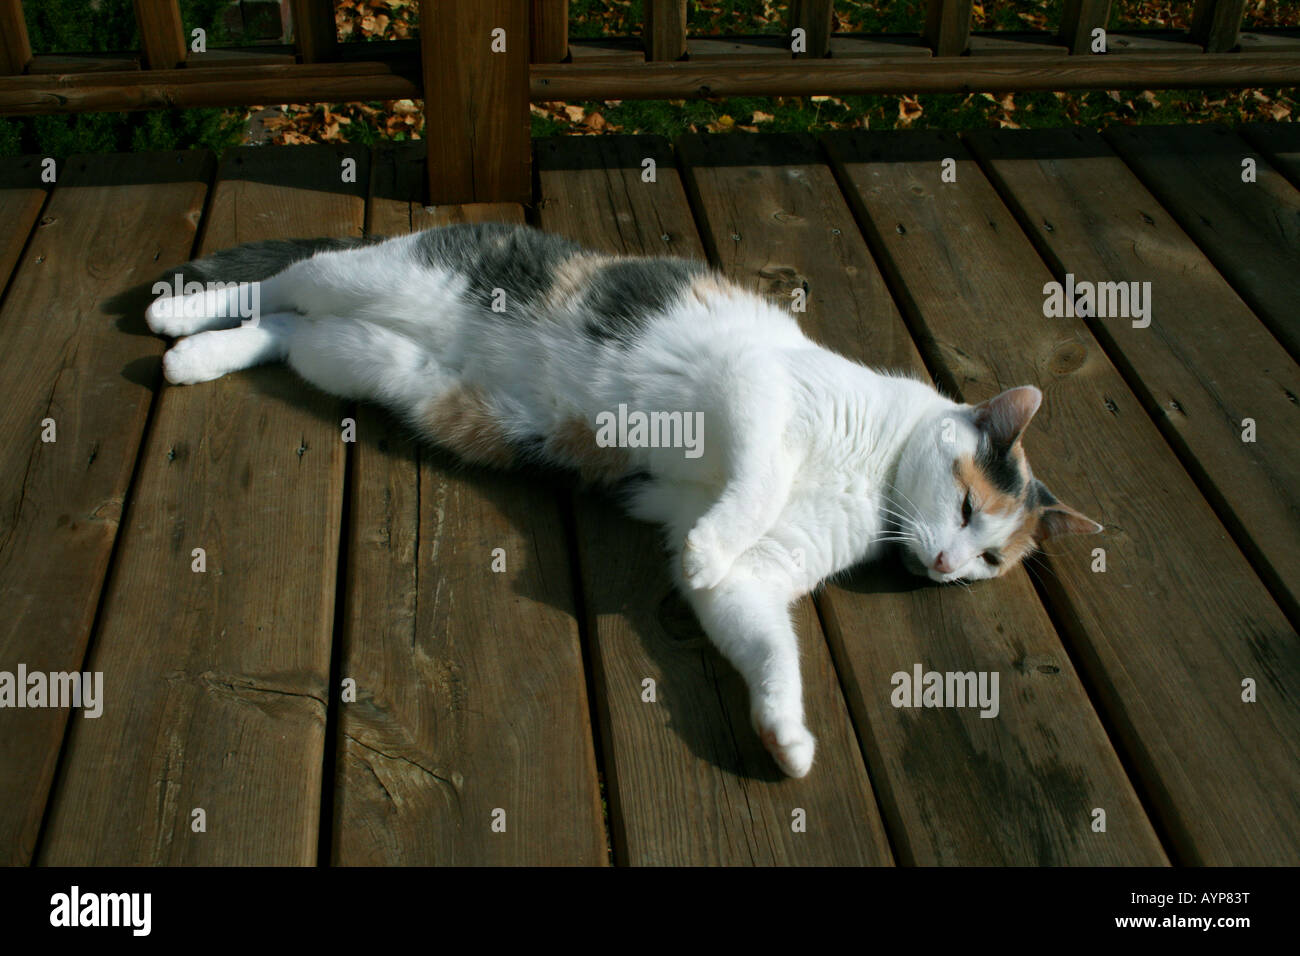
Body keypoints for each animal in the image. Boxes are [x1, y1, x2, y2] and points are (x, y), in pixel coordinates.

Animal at [144, 222, 1097, 780]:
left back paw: (198, 357)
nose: (943, 564)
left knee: (284, 330)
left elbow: (762, 639)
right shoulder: (757, 393)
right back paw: (178, 319)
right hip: (381, 281)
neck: (872, 473)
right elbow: (755, 484)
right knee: (282, 280)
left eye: (988, 561)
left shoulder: (758, 577)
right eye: (969, 508)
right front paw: (714, 542)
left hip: (365, 361)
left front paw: (786, 738)